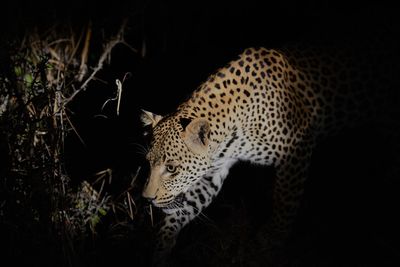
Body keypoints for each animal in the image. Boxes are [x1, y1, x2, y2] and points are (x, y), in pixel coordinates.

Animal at [139, 44, 398, 266]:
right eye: (148, 163)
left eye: (171, 168)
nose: (147, 199)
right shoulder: (214, 168)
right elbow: (187, 205)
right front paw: (160, 248)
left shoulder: (297, 149)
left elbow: (285, 203)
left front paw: (271, 241)